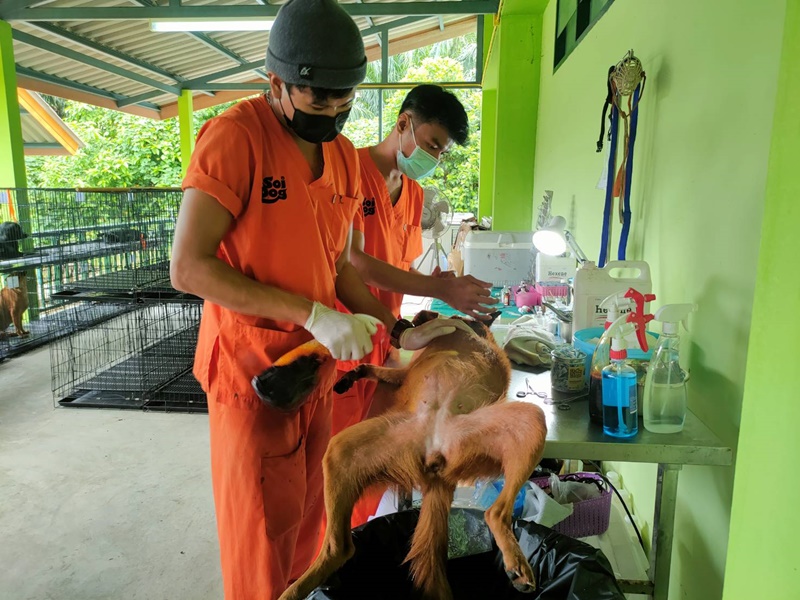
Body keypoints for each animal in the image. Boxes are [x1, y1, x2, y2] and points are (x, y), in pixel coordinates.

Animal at [253, 310, 548, 600]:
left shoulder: (403, 372)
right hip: (349, 450)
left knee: (494, 513)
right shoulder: (404, 373)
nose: (405, 323)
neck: (472, 326)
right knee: (341, 548)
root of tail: (437, 461)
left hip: (522, 419)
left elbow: (377, 366)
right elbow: (373, 368)